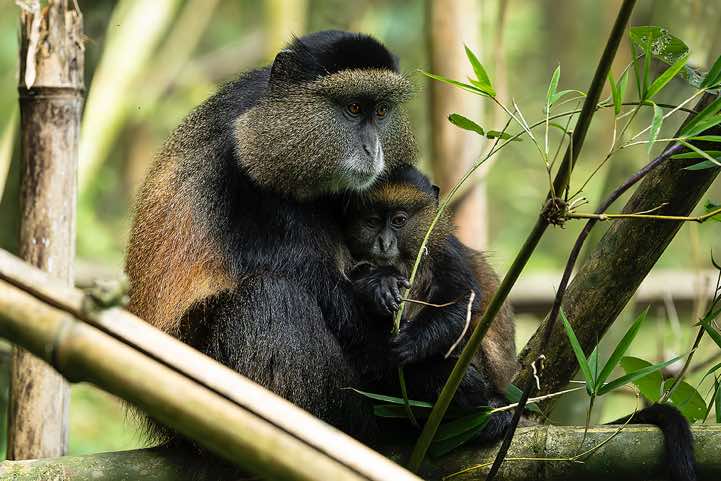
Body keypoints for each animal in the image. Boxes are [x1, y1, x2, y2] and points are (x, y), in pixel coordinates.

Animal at [125, 31, 422, 451]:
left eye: (381, 112)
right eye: (353, 107)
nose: (374, 149)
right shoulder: (245, 175)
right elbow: (319, 286)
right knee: (269, 297)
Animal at [341, 165, 518, 441]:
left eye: (399, 220)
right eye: (372, 222)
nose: (384, 244)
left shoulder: (444, 249)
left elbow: (461, 300)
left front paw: (410, 342)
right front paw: (380, 283)